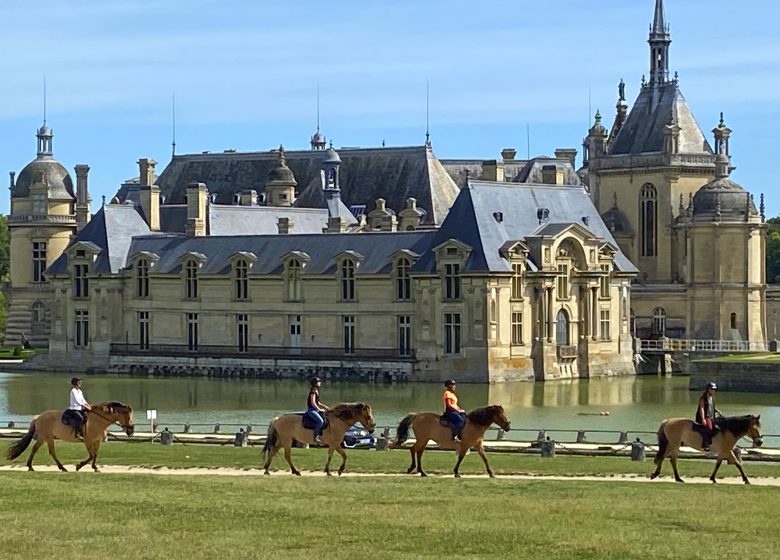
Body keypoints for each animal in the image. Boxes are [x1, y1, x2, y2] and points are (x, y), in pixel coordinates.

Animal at [4, 402, 136, 472]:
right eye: (128, 416)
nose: (131, 431)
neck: (98, 420)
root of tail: (38, 417)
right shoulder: (88, 441)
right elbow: (91, 455)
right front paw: (79, 466)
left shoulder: (96, 441)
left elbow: (95, 454)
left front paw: (95, 467)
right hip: (48, 438)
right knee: (52, 452)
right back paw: (61, 467)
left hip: (43, 438)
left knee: (34, 449)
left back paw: (30, 466)